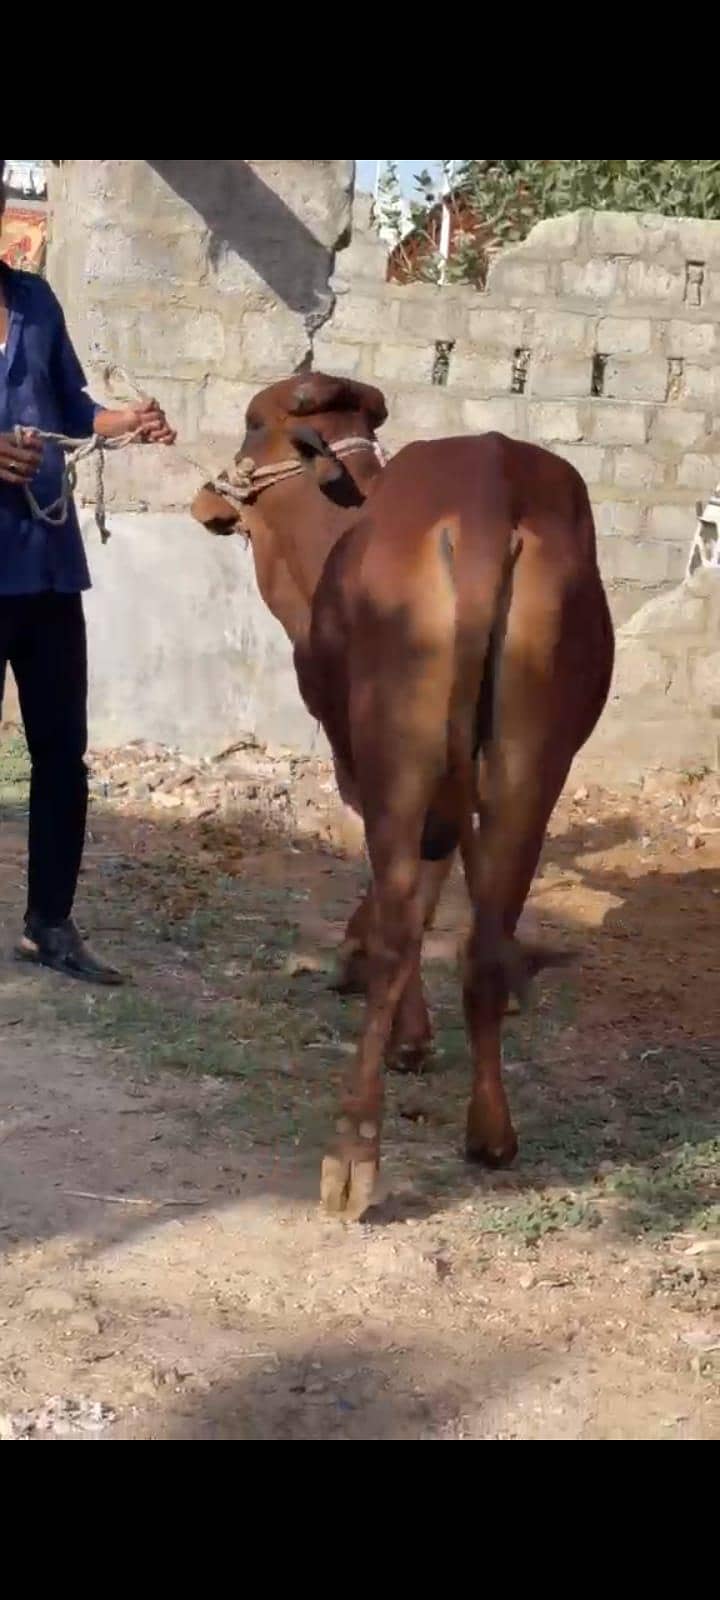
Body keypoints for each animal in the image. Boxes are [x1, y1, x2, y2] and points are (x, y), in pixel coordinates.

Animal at [192, 373, 614, 1220]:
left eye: (252, 423)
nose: (208, 500)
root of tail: (488, 499)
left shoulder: (357, 758)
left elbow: (408, 900)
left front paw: (401, 1026)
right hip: (531, 764)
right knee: (482, 936)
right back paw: (490, 1132)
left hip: (400, 756)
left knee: (399, 927)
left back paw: (352, 1153)